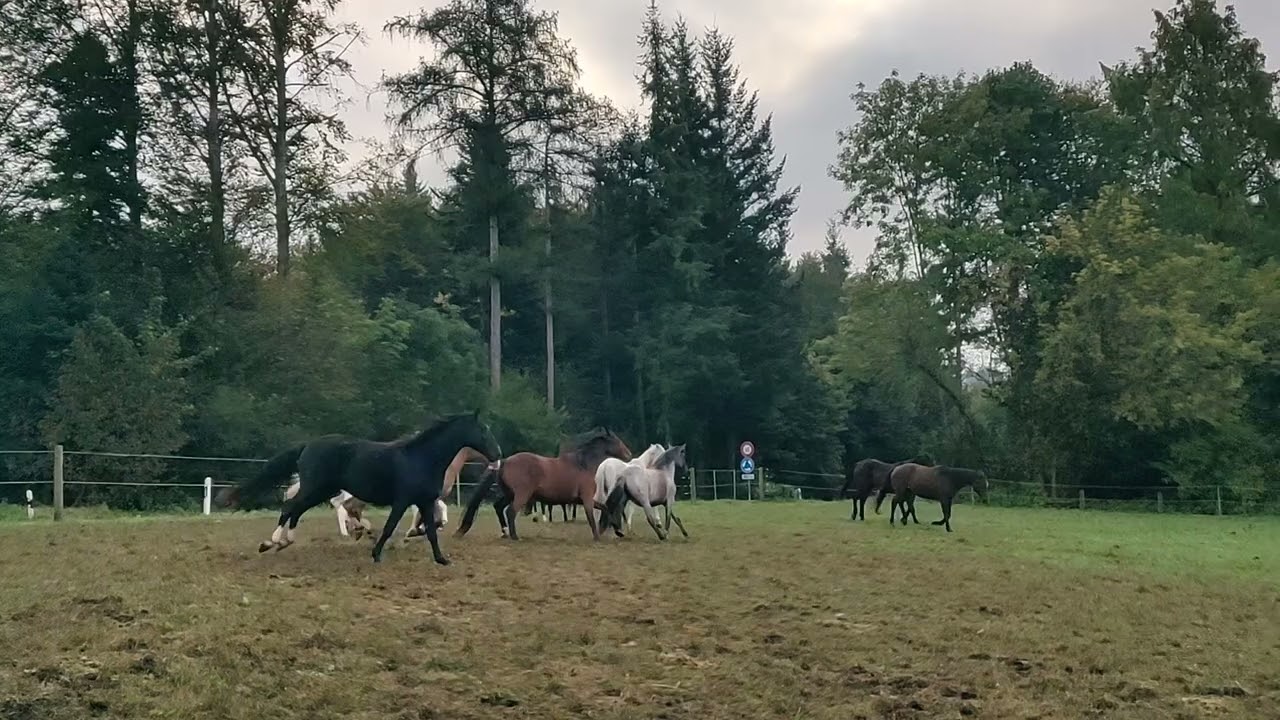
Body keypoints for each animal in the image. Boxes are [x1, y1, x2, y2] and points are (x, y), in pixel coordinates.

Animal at [219, 412, 501, 564]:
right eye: (483, 431)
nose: (497, 455)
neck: (421, 458)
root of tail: (308, 445)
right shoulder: (403, 500)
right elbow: (389, 528)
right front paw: (376, 554)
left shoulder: (424, 501)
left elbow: (432, 531)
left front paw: (442, 559)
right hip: (316, 488)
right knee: (290, 507)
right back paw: (272, 542)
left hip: (321, 491)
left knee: (296, 510)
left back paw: (285, 542)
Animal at [455, 427, 632, 542]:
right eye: (616, 440)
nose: (629, 454)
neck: (583, 464)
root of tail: (505, 461)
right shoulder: (587, 499)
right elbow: (591, 517)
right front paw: (597, 536)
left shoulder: (583, 500)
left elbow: (605, 508)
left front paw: (617, 530)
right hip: (522, 495)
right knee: (511, 511)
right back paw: (515, 536)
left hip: (510, 494)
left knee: (498, 507)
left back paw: (505, 532)